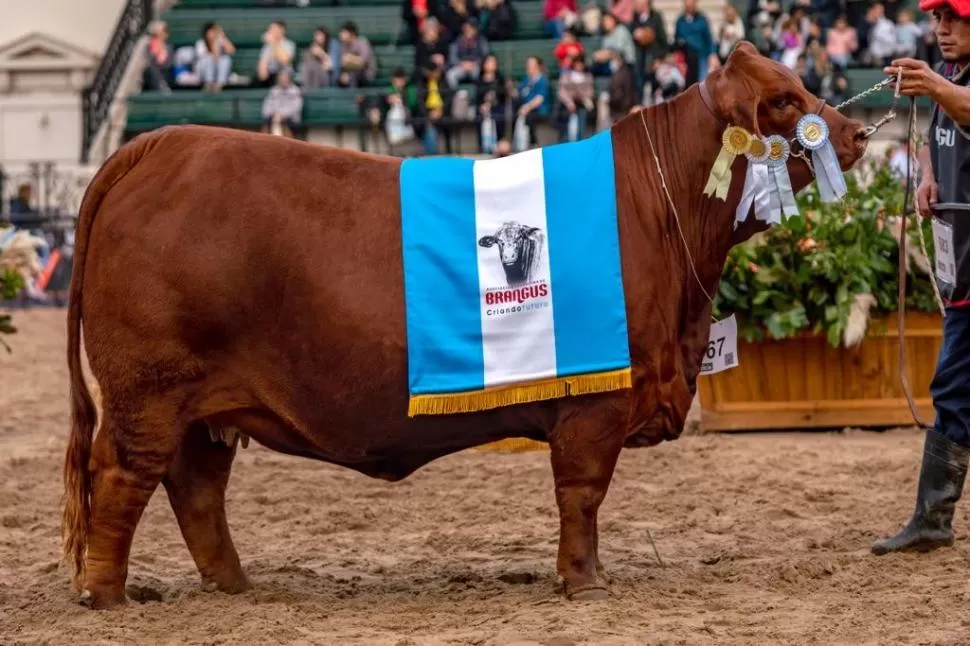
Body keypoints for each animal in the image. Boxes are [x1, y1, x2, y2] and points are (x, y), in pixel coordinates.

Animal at [64, 41, 864, 612]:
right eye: (785, 99)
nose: (856, 133)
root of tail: (158, 144)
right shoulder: (596, 403)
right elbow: (582, 493)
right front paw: (585, 582)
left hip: (203, 407)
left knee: (195, 488)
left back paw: (233, 585)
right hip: (148, 391)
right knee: (123, 475)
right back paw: (105, 595)